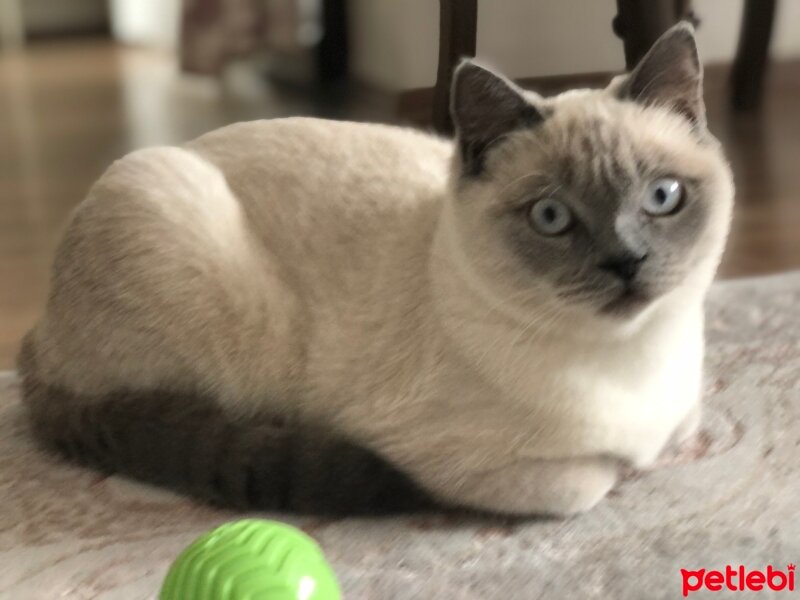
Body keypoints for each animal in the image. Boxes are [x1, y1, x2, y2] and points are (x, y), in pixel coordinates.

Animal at [18, 24, 732, 516]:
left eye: (663, 197)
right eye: (552, 217)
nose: (627, 262)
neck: (634, 359)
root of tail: (37, 340)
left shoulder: (687, 415)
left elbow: (682, 436)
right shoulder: (461, 463)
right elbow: (593, 480)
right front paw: (628, 471)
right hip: (169, 210)